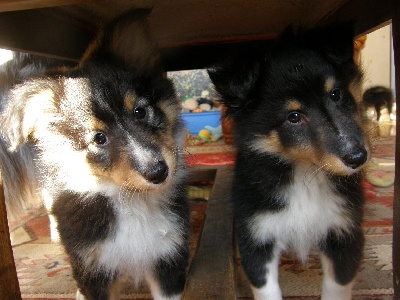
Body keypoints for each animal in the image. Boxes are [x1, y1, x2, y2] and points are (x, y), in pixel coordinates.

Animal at [0, 9, 189, 300]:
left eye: (140, 111)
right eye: (99, 138)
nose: (159, 172)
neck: (130, 201)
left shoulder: (168, 257)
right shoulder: (93, 267)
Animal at [209, 24, 368, 300]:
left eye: (335, 94)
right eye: (293, 116)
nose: (358, 157)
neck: (305, 173)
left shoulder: (344, 231)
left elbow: (336, 288)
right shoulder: (257, 236)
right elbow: (267, 290)